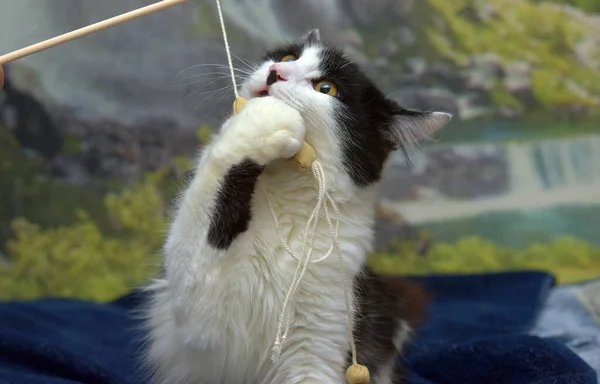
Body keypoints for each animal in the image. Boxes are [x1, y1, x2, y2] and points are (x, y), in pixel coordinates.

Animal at [143, 30, 448, 384]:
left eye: (327, 89)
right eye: (288, 58)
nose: (276, 72)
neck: (282, 211)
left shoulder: (318, 344)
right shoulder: (200, 314)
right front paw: (261, 121)